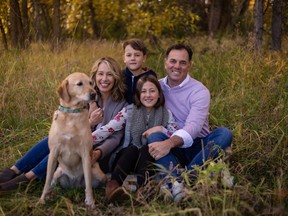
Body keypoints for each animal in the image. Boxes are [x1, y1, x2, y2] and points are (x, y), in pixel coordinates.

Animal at [39, 72, 107, 209]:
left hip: (99, 174)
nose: (94, 94)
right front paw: (42, 199)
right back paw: (52, 195)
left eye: (91, 83)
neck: (72, 114)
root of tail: (75, 184)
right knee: (53, 183)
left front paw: (90, 202)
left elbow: (88, 184)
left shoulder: (86, 153)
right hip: (57, 174)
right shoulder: (53, 153)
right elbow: (47, 181)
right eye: (79, 84)